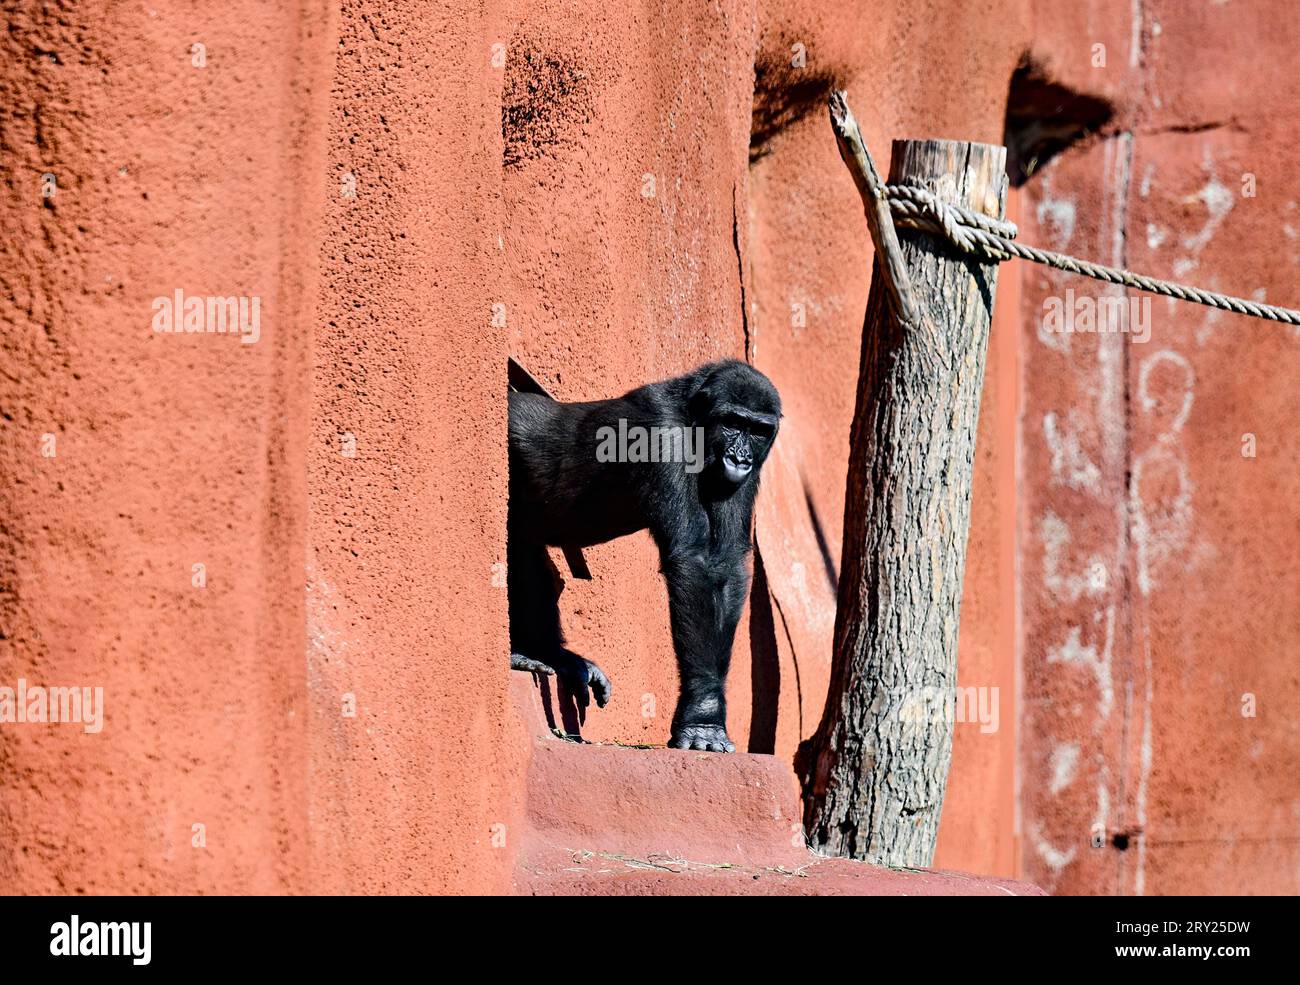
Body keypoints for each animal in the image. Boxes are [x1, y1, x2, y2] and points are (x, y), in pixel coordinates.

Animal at [506, 358, 780, 753]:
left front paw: (708, 711)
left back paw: (549, 654)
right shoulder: (660, 438)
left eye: (758, 430)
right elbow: (693, 562)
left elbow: (725, 566)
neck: (692, 414)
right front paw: (702, 719)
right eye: (732, 422)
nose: (740, 458)